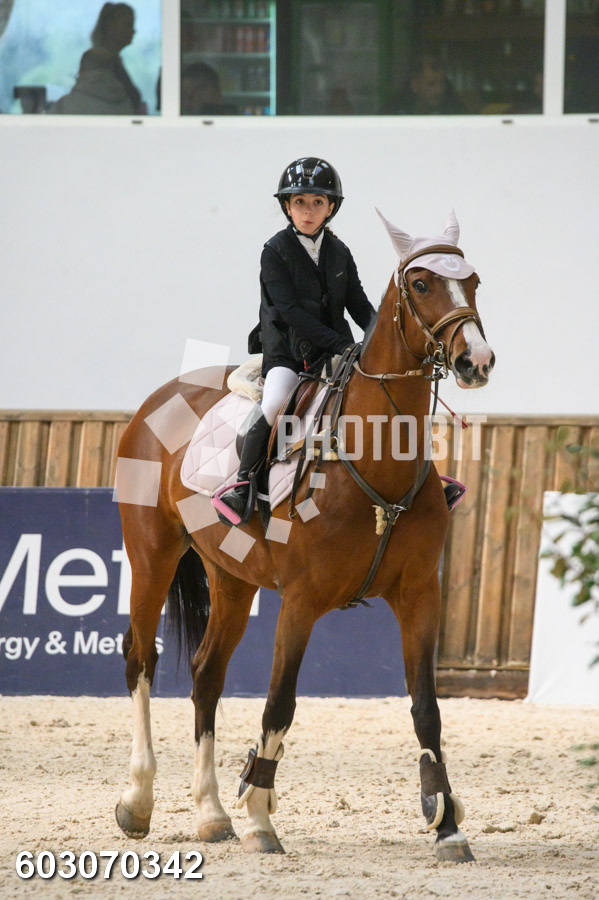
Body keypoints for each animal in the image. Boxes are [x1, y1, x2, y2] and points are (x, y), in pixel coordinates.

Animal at [114, 210, 495, 863]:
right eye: (421, 284)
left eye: (471, 282)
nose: (478, 360)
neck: (375, 459)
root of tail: (160, 397)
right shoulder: (300, 601)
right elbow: (280, 705)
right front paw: (261, 818)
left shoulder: (420, 596)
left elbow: (426, 709)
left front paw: (446, 822)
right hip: (152, 556)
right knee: (141, 659)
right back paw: (139, 803)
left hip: (232, 578)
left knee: (206, 674)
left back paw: (211, 813)